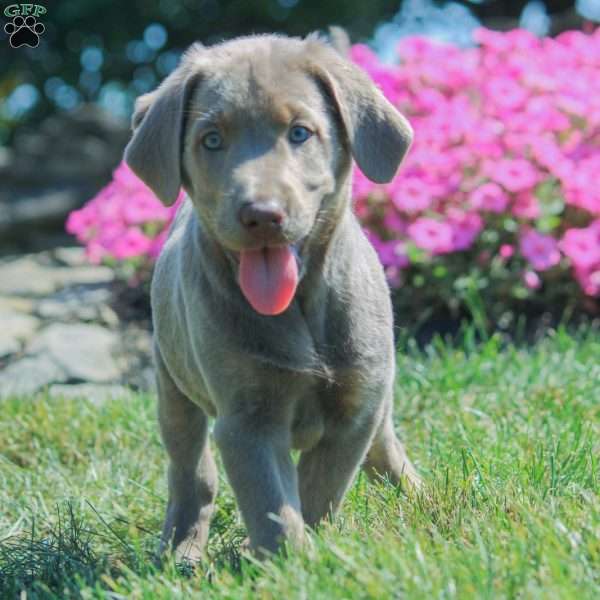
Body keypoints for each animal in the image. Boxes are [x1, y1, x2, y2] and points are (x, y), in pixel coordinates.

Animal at [124, 31, 420, 556]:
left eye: (300, 133)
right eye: (212, 140)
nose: (261, 214)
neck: (299, 303)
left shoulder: (355, 407)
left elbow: (318, 490)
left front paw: (304, 552)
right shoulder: (247, 421)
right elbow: (274, 503)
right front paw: (290, 560)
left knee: (385, 448)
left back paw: (422, 495)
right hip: (171, 381)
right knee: (191, 470)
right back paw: (182, 546)